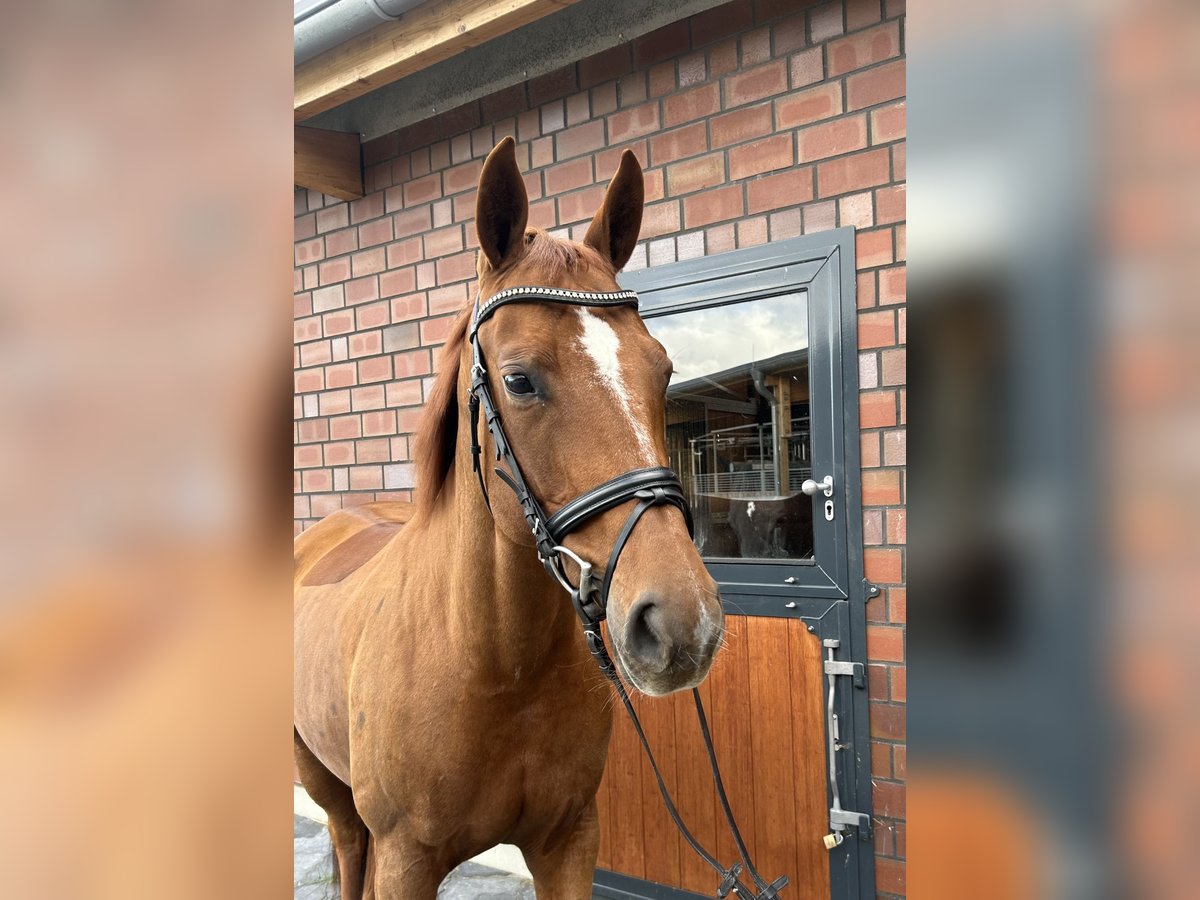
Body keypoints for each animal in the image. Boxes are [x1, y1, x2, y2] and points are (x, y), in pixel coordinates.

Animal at [295, 137, 720, 897]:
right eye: (519, 380)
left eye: (663, 369)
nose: (684, 625)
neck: (492, 661)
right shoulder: (405, 859)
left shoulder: (570, 840)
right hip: (324, 785)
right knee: (346, 847)